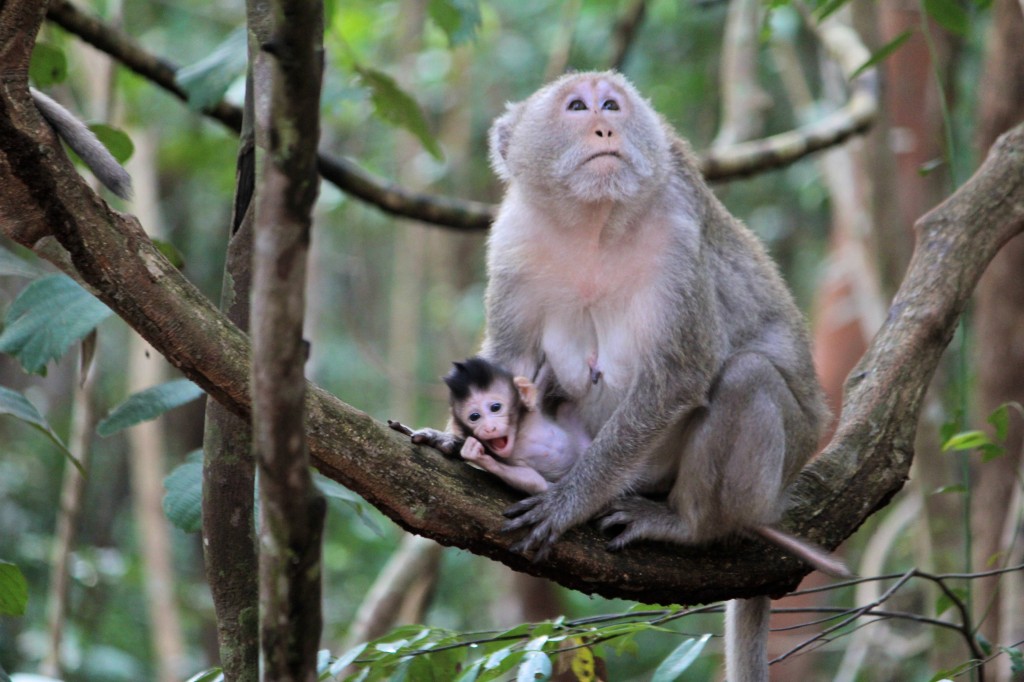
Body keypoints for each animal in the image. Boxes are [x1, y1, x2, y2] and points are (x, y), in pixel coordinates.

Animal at [444, 356, 589, 493]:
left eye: (495, 407)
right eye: (474, 417)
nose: (489, 428)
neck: (520, 433)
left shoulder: (535, 405)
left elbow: (545, 375)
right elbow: (535, 480)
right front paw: (480, 457)